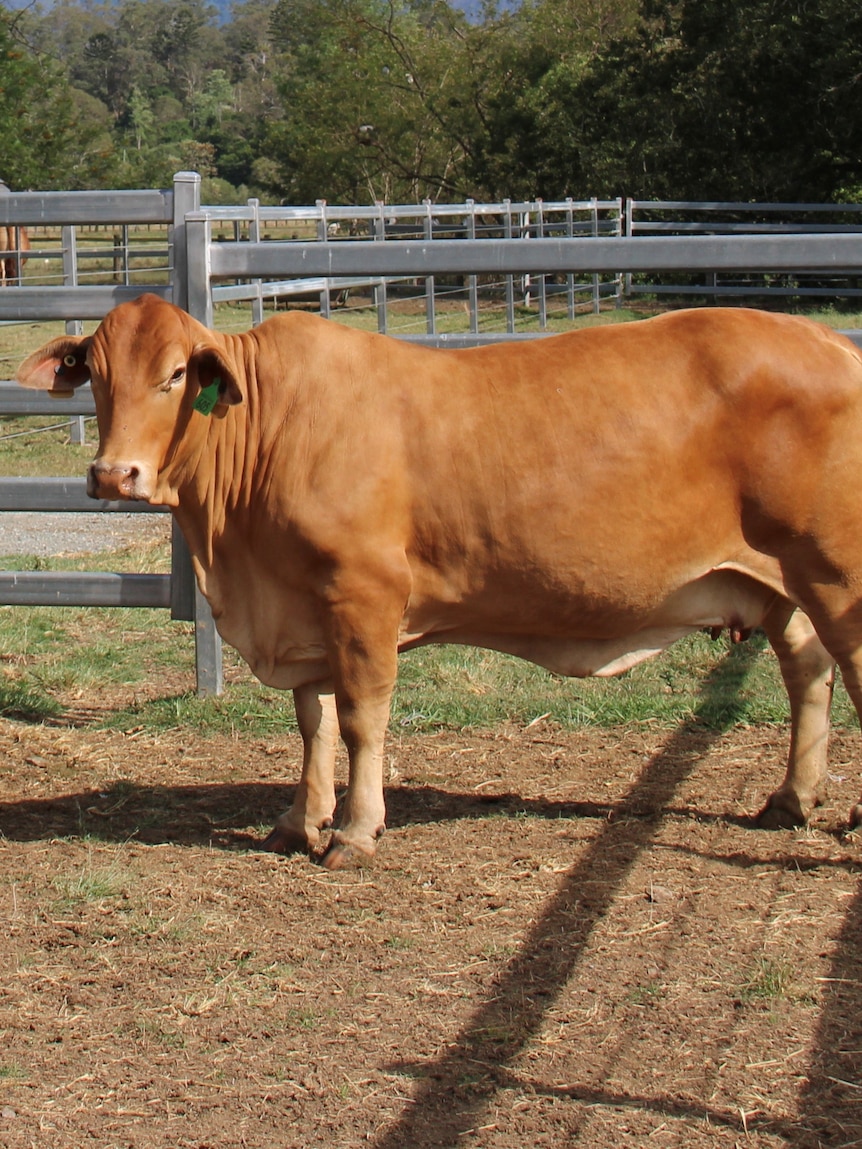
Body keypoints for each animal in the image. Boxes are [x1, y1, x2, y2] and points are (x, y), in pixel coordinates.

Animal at [15, 295, 862, 867]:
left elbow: (361, 717)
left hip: (836, 571)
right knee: (808, 670)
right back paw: (792, 796)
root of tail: (830, 340)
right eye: (95, 376)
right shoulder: (304, 606)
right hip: (781, 583)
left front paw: (355, 830)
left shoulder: (364, 592)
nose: (112, 474)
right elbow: (313, 721)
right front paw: (299, 820)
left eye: (174, 376)